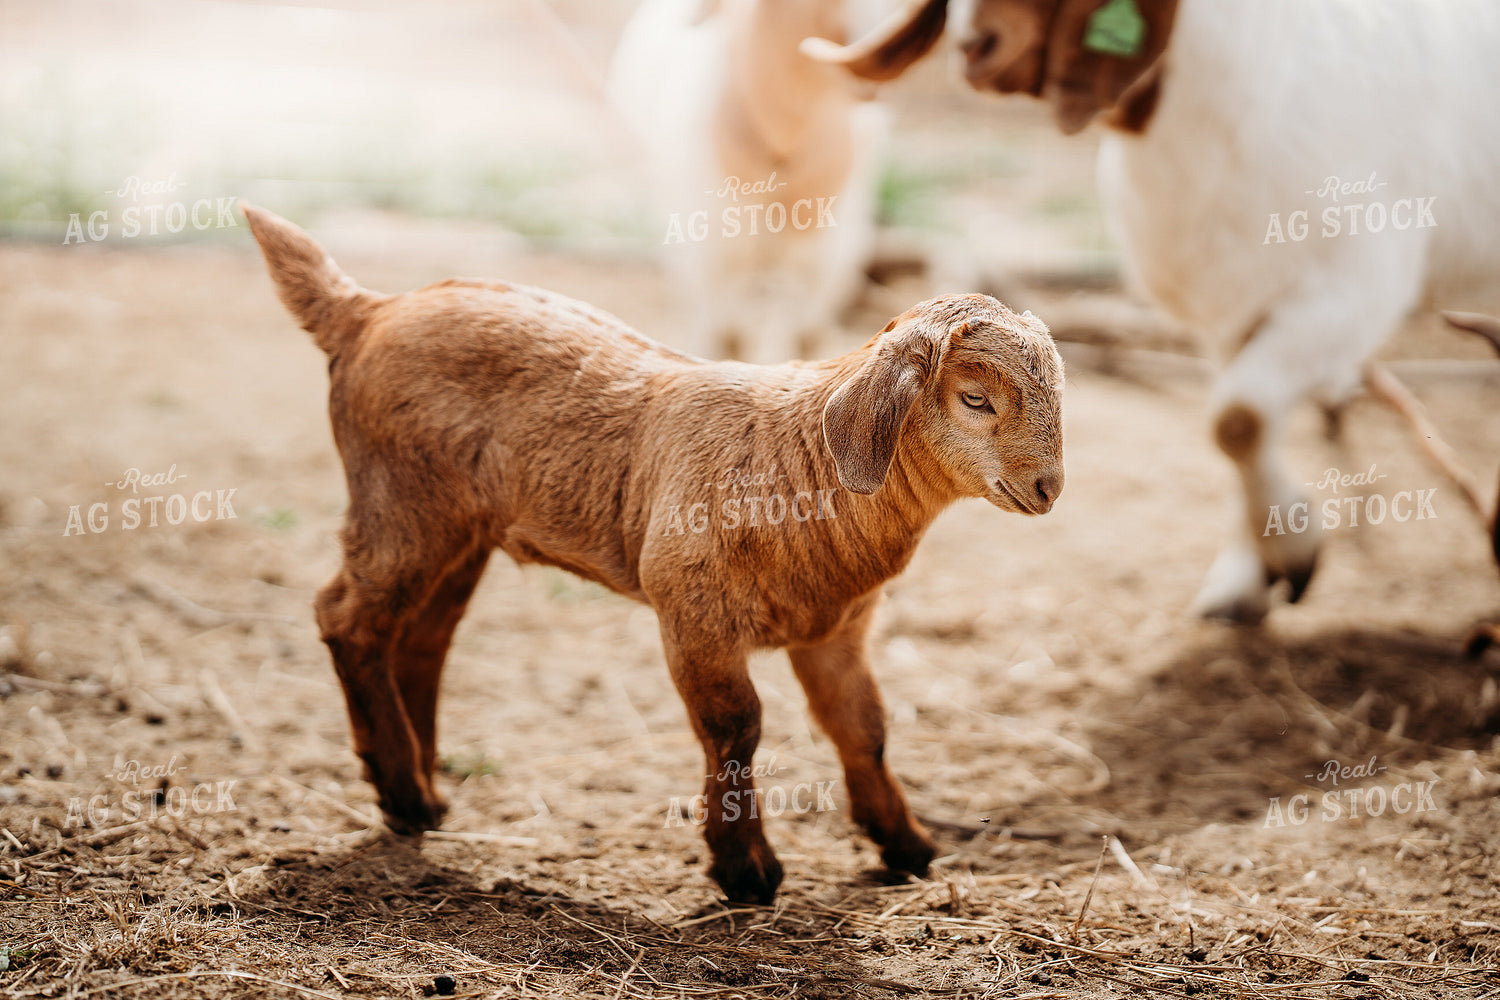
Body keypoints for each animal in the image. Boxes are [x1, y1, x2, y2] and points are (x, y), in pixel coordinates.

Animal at [241, 203, 1065, 903]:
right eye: (975, 399)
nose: (1049, 487)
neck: (802, 459)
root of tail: (367, 309)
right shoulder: (693, 613)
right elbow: (735, 727)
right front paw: (746, 871)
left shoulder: (837, 629)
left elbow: (864, 727)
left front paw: (908, 846)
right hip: (401, 500)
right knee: (349, 619)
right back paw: (404, 793)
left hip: (461, 527)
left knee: (418, 640)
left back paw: (423, 795)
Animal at [807, 0, 1500, 622]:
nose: (975, 48)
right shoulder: (1230, 311)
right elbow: (1242, 426)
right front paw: (1246, 583)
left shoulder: (1353, 291)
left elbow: (1238, 420)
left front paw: (1292, 554)